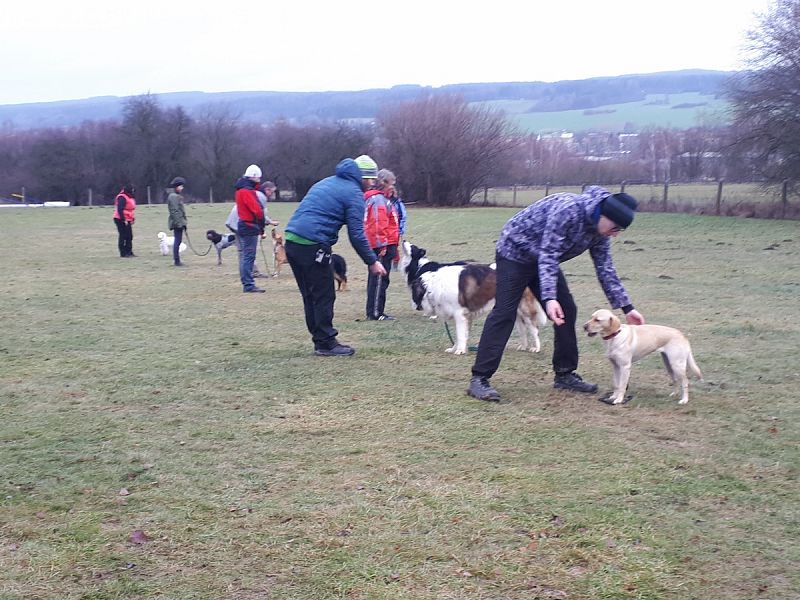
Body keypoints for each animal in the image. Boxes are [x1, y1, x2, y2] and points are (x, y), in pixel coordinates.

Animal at [398, 240, 544, 354]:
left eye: (413, 246)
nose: (403, 239)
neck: (433, 285)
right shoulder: (462, 316)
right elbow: (460, 335)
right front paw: (455, 348)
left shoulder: (459, 314)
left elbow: (460, 334)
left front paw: (459, 350)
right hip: (516, 310)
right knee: (522, 329)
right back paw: (523, 346)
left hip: (525, 310)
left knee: (534, 328)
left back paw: (536, 348)